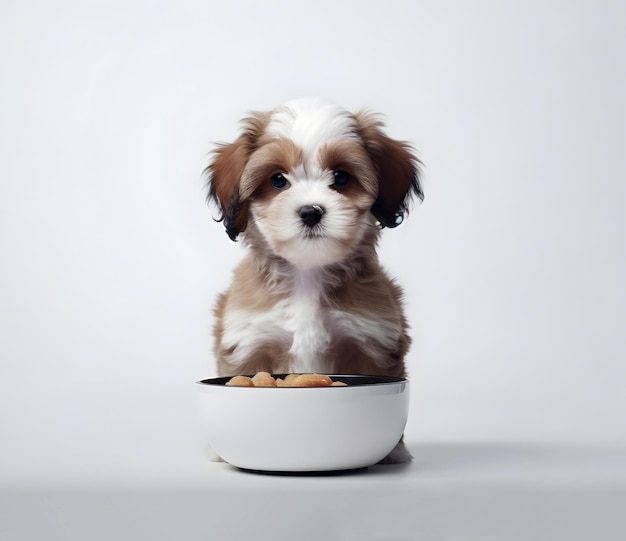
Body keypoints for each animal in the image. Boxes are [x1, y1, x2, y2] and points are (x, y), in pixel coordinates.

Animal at [202, 99, 422, 462]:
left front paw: (392, 451)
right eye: (278, 180)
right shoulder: (250, 343)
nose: (310, 211)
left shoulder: (371, 344)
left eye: (341, 177)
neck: (307, 272)